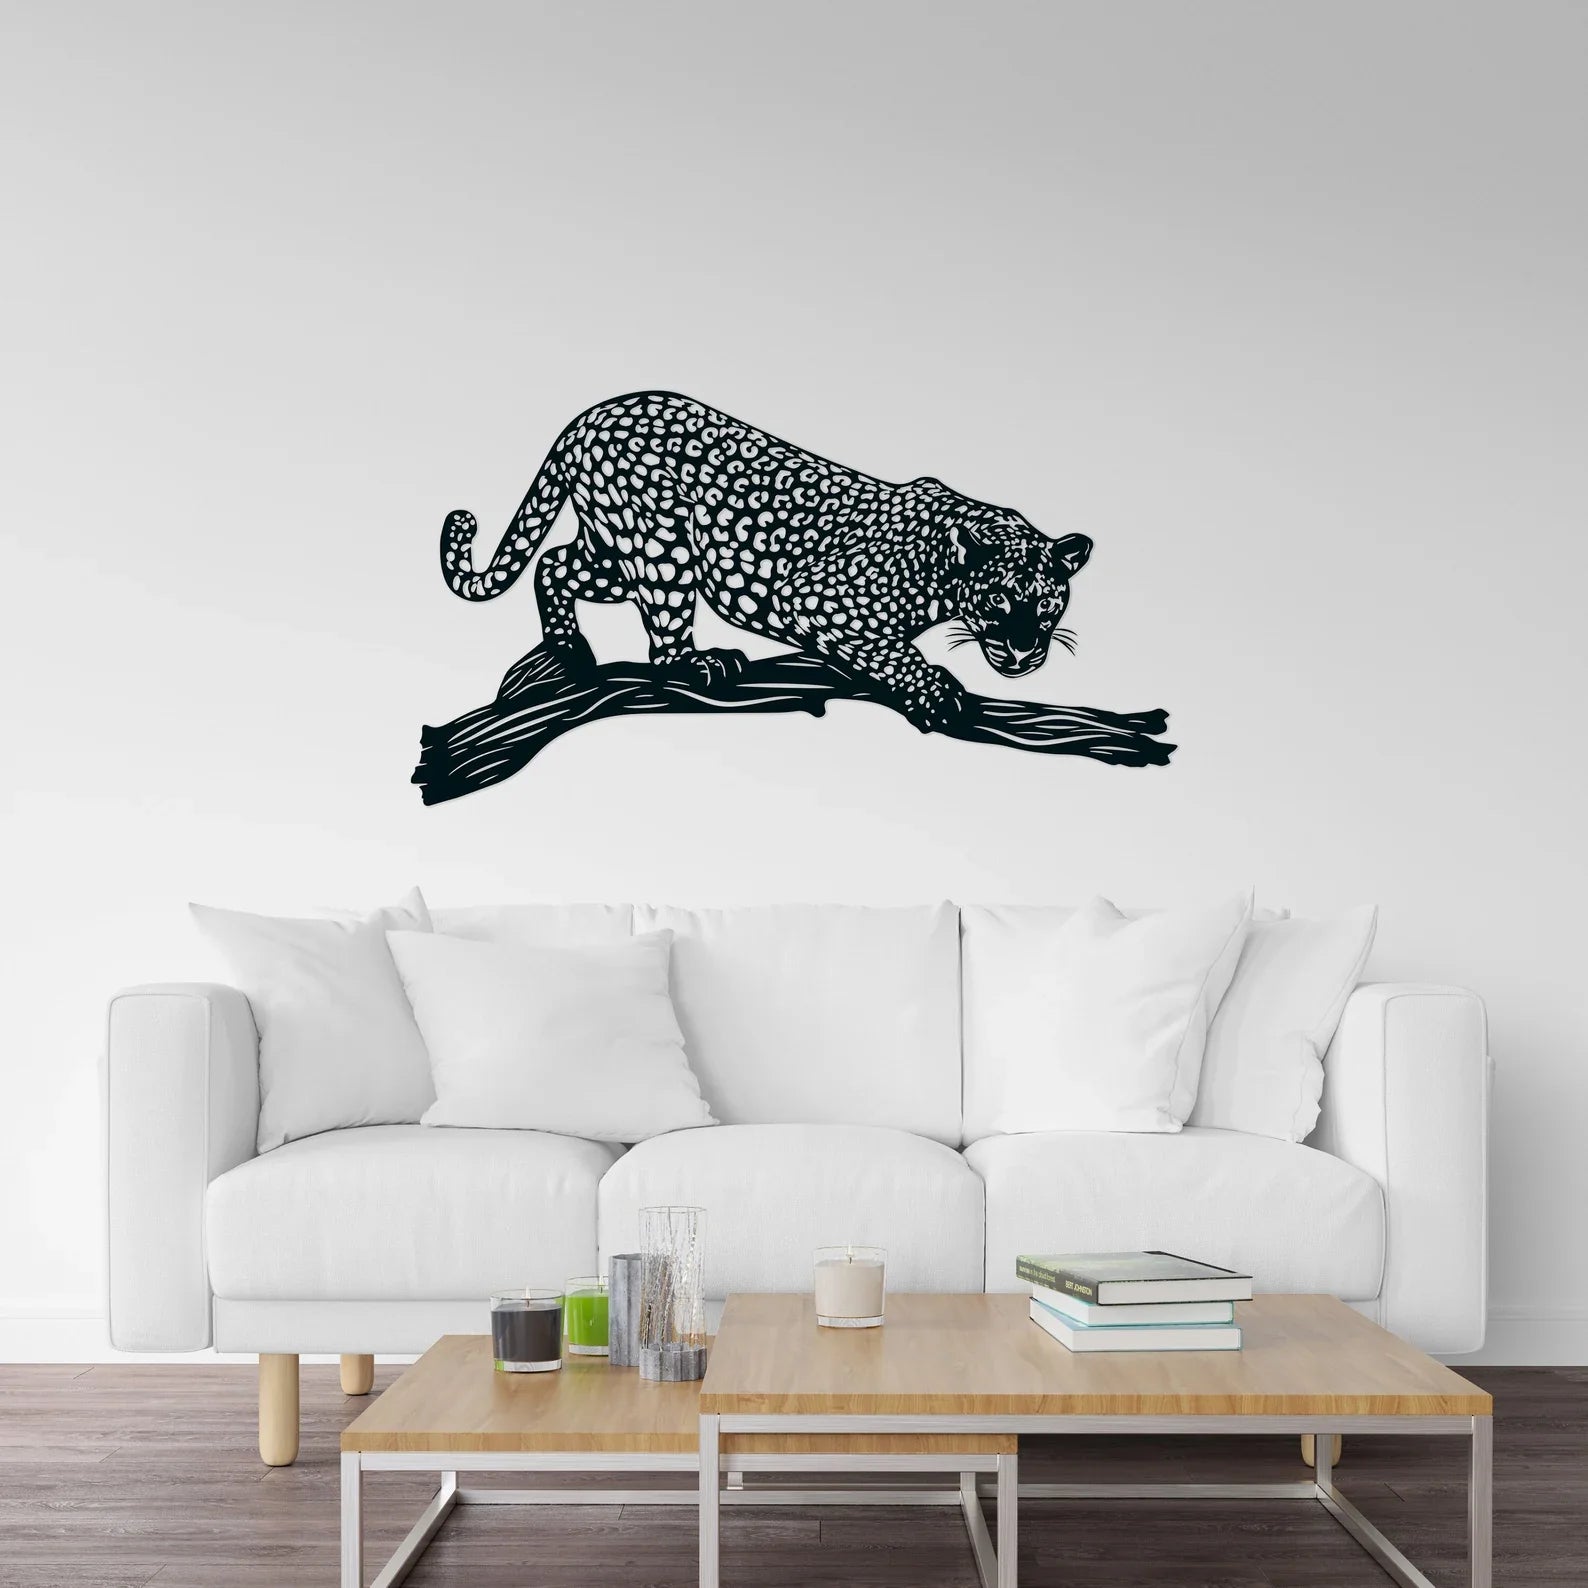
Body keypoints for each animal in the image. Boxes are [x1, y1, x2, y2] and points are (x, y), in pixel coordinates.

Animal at [440, 390, 1092, 732]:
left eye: (1049, 603)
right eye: (998, 598)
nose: (1025, 650)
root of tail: (591, 413)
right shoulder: (814, 595)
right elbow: (892, 651)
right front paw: (934, 690)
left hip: (614, 555)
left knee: (553, 562)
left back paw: (570, 650)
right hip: (661, 548)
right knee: (661, 635)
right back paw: (700, 663)